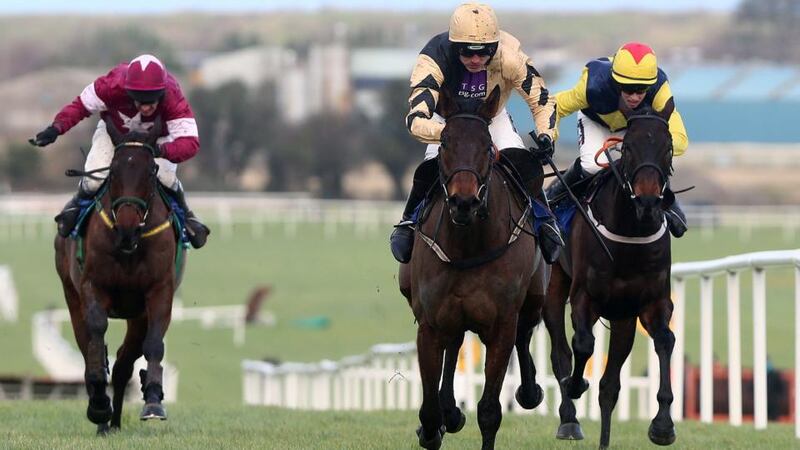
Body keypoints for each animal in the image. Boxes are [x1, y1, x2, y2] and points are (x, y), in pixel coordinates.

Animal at [54, 118, 181, 434]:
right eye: (112, 170)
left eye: (151, 171)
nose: (127, 228)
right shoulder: (93, 286)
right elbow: (96, 339)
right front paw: (99, 404)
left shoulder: (159, 290)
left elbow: (153, 344)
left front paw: (153, 401)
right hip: (71, 295)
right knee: (88, 347)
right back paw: (102, 415)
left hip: (136, 315)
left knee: (125, 362)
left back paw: (114, 422)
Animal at [400, 85, 552, 450]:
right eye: (444, 143)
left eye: (486, 146)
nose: (464, 202)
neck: (468, 245)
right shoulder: (429, 324)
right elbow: (429, 410)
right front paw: (434, 426)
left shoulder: (501, 324)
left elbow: (490, 410)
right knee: (454, 345)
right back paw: (451, 412)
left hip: (534, 298)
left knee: (524, 334)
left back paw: (529, 392)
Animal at [544, 99, 676, 450]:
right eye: (628, 148)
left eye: (668, 148)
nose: (647, 200)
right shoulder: (584, 297)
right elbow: (583, 344)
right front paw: (576, 386)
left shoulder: (651, 303)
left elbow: (665, 340)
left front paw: (663, 424)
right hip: (554, 285)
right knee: (560, 352)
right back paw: (569, 419)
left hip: (622, 318)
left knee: (609, 386)